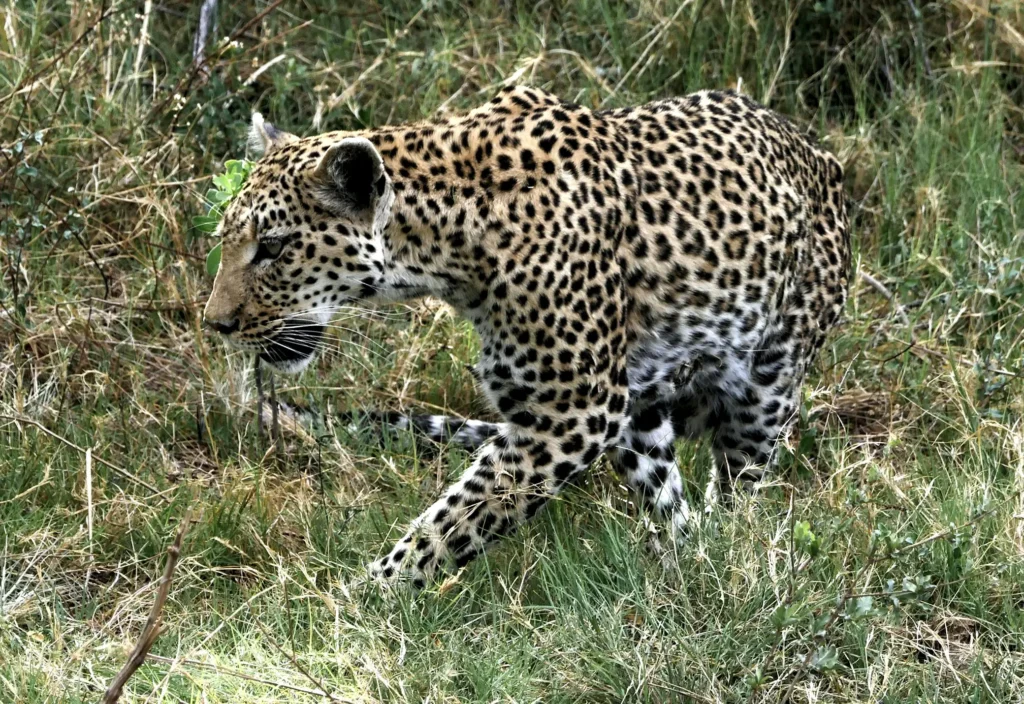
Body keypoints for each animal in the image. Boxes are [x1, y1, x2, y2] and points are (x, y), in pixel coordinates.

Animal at [203, 86, 851, 590]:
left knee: (740, 494)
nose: (216, 324)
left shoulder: (571, 413)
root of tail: (820, 155)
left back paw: (725, 559)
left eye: (274, 248)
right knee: (671, 506)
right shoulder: (579, 409)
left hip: (766, 387)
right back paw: (678, 571)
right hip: (639, 413)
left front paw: (363, 603)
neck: (446, 245)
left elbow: (453, 522)